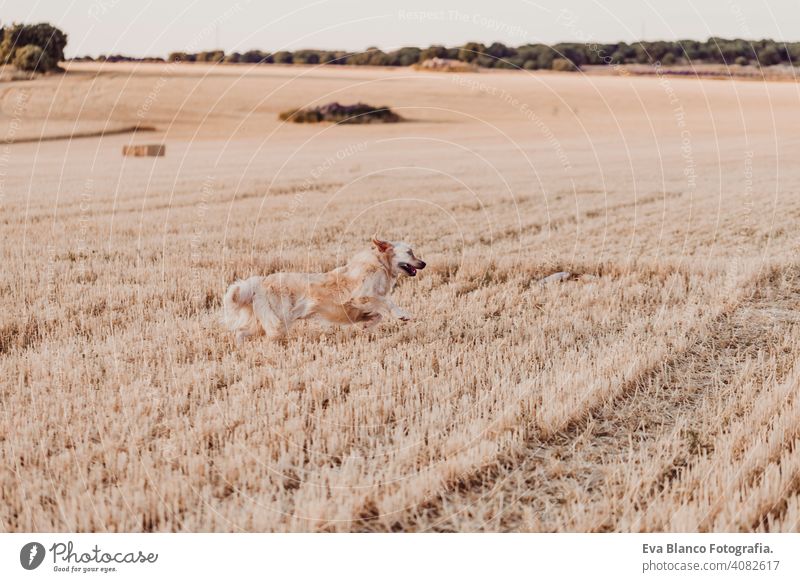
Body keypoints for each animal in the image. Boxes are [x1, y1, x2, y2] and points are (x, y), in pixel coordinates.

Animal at [222, 237, 424, 344]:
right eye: (410, 252)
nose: (424, 263)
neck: (380, 264)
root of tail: (260, 282)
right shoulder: (361, 297)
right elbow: (386, 302)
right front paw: (402, 315)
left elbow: (378, 315)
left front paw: (367, 325)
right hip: (278, 321)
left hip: (263, 321)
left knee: (241, 331)